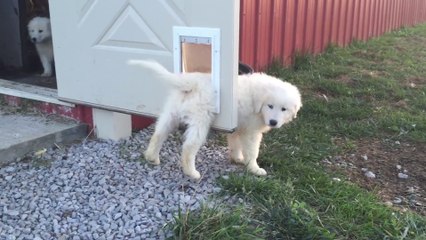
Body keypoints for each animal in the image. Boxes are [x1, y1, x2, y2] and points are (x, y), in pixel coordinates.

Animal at [131, 61, 302, 179]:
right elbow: (252, 151)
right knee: (189, 147)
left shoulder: (237, 128)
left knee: (158, 134)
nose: (273, 122)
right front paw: (254, 168)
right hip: (201, 120)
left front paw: (237, 158)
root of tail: (192, 82)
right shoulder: (251, 132)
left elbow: (235, 144)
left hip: (171, 113)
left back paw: (152, 157)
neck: (257, 101)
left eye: (284, 109)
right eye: (270, 106)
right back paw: (192, 173)